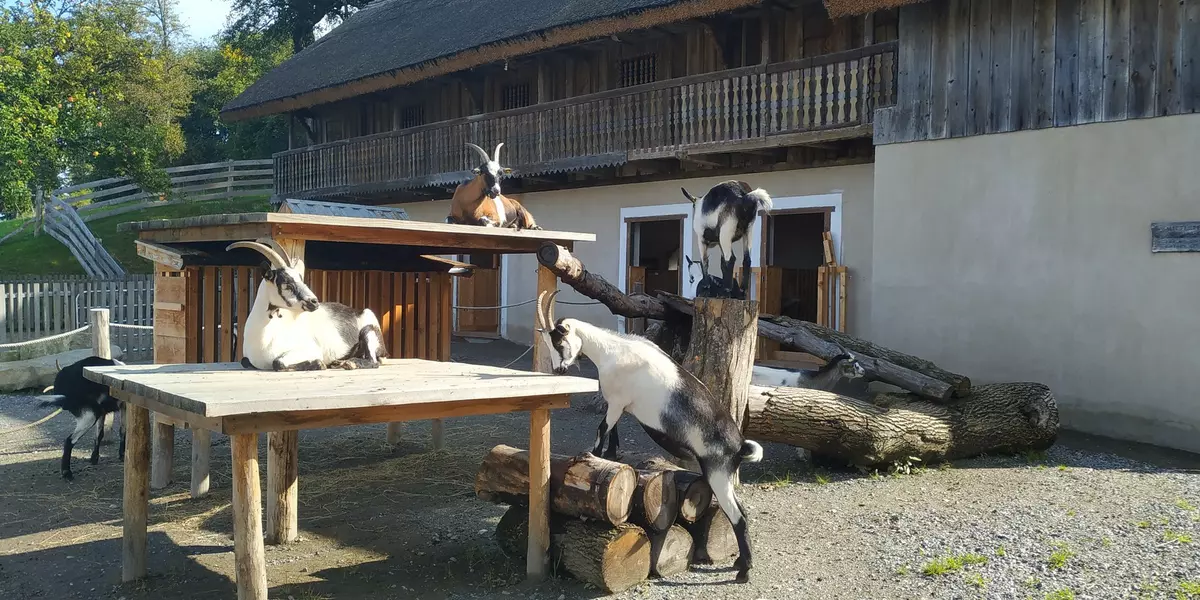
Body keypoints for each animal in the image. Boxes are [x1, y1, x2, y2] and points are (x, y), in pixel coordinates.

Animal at [228, 238, 387, 371]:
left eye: (301, 279)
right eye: (287, 284)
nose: (314, 301)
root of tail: (359, 311)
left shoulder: (310, 349)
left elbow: (277, 362)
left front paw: (319, 364)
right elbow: (244, 361)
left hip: (369, 331)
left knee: (373, 361)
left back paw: (349, 363)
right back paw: (339, 362)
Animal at [536, 290, 762, 583]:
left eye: (559, 341)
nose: (559, 370)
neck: (613, 349)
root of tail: (738, 446)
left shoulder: (617, 402)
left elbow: (601, 431)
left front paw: (590, 464)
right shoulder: (619, 406)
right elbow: (613, 434)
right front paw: (611, 457)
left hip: (718, 473)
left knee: (739, 516)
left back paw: (743, 572)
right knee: (737, 511)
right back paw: (738, 564)